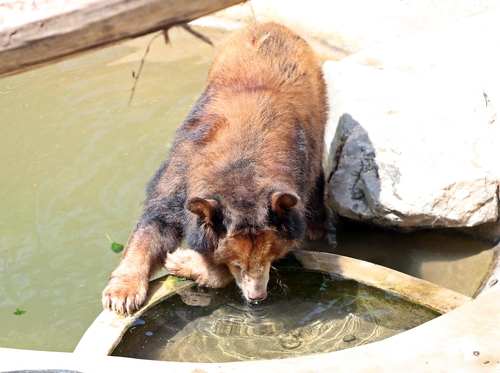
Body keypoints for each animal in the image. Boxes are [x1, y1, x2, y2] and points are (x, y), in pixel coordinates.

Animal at [101, 21, 328, 314]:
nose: (257, 297)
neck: (242, 166)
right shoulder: (182, 167)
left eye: (270, 257)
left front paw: (181, 261)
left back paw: (317, 226)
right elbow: (157, 220)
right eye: (238, 264)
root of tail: (271, 24)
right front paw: (121, 296)